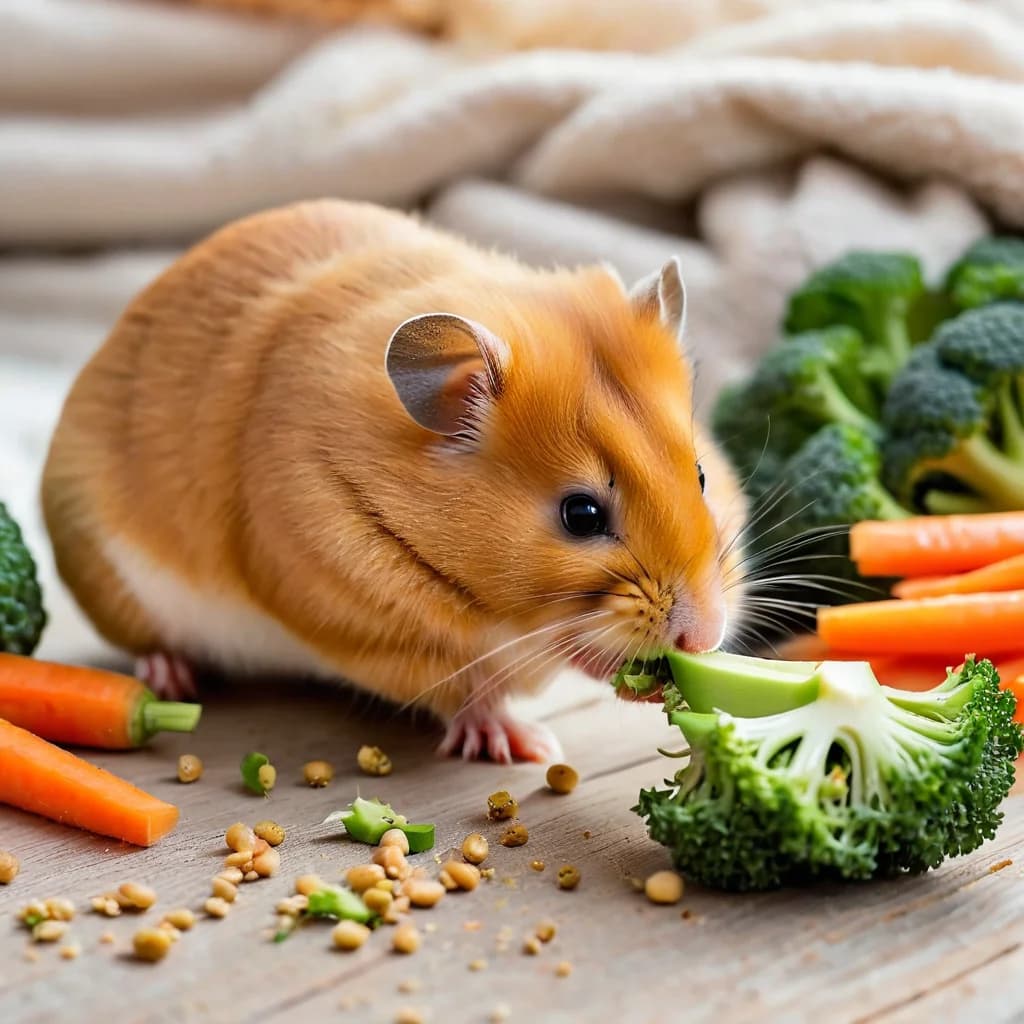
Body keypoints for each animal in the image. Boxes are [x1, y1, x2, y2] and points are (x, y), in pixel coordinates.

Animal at [41, 199, 747, 763]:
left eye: (701, 476)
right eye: (581, 515)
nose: (706, 636)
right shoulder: (372, 628)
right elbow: (470, 692)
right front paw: (523, 743)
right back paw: (170, 677)